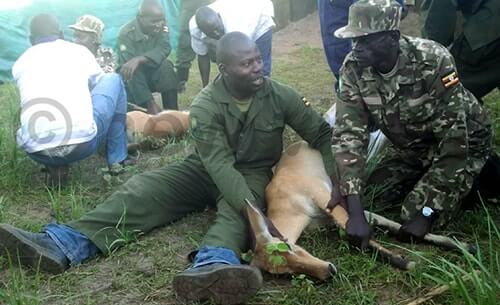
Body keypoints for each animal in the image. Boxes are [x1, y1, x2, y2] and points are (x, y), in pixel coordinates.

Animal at [247, 141, 476, 280]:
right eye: (286, 272)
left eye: (289, 246)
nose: (329, 270)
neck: (287, 199)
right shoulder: (328, 218)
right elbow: (387, 225)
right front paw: (463, 246)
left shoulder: (327, 200)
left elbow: (372, 233)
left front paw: (406, 262)